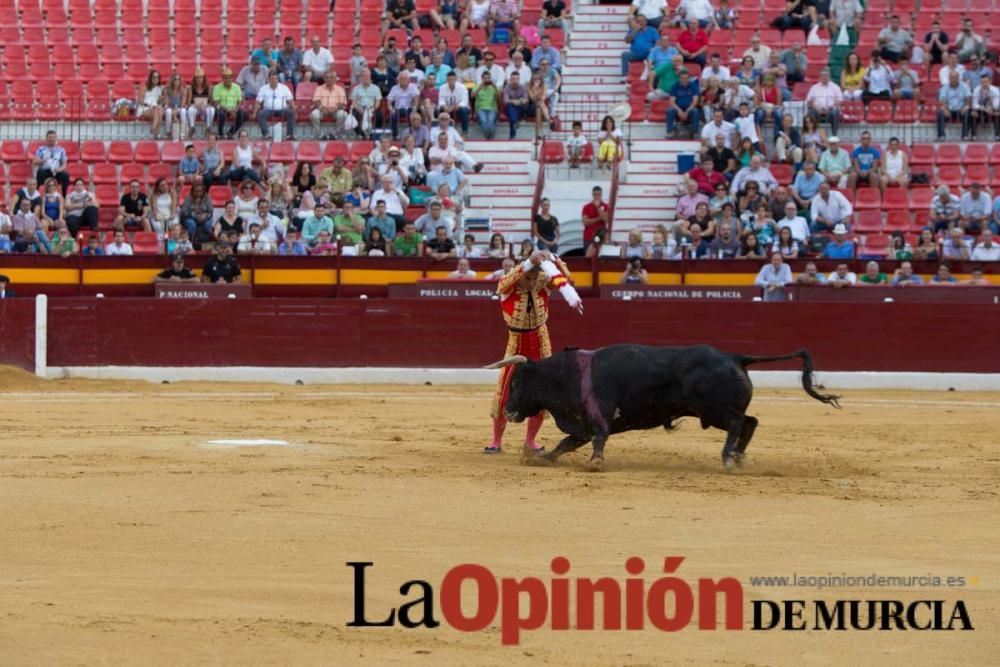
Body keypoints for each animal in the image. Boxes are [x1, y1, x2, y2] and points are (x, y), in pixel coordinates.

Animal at [488, 344, 840, 470]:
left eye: (517, 383)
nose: (509, 412)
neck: (567, 374)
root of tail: (735, 357)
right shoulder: (582, 425)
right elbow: (565, 443)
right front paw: (543, 457)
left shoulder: (598, 416)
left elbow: (598, 438)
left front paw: (596, 463)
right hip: (717, 411)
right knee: (750, 422)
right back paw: (738, 456)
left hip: (713, 411)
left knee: (740, 424)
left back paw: (728, 457)